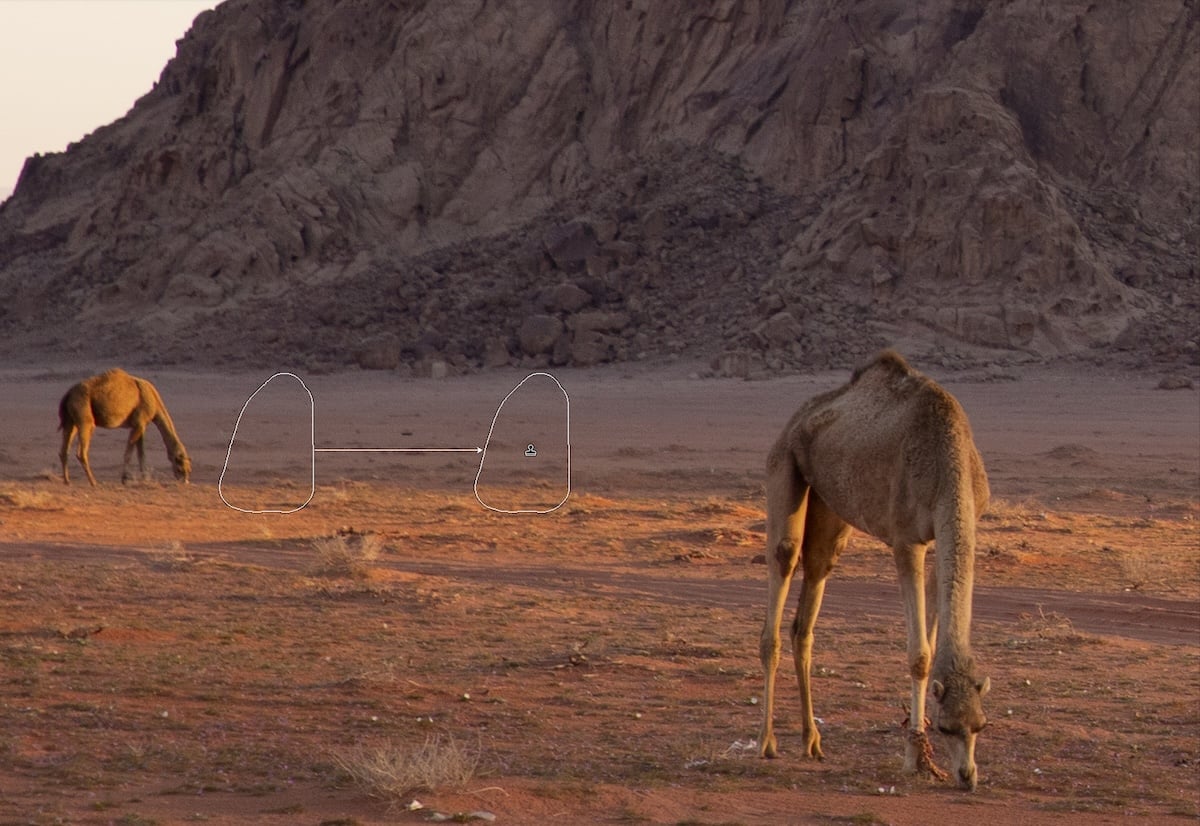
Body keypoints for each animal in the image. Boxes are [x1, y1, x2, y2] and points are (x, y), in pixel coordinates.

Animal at [58, 368, 192, 487]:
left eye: (189, 470)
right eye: (180, 468)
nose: (185, 481)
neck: (154, 401)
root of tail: (68, 394)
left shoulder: (140, 425)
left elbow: (141, 454)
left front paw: (144, 478)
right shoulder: (139, 423)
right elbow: (129, 452)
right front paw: (125, 479)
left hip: (71, 421)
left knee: (64, 450)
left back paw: (67, 481)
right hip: (85, 418)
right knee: (81, 452)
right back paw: (93, 482)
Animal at [757, 350, 991, 790]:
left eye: (980, 725)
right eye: (946, 728)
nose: (967, 776)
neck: (947, 462)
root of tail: (798, 418)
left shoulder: (945, 534)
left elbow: (931, 638)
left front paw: (922, 749)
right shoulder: (906, 540)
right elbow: (919, 654)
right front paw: (915, 757)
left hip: (831, 506)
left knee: (812, 591)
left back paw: (812, 741)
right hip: (783, 464)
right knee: (785, 560)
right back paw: (766, 741)